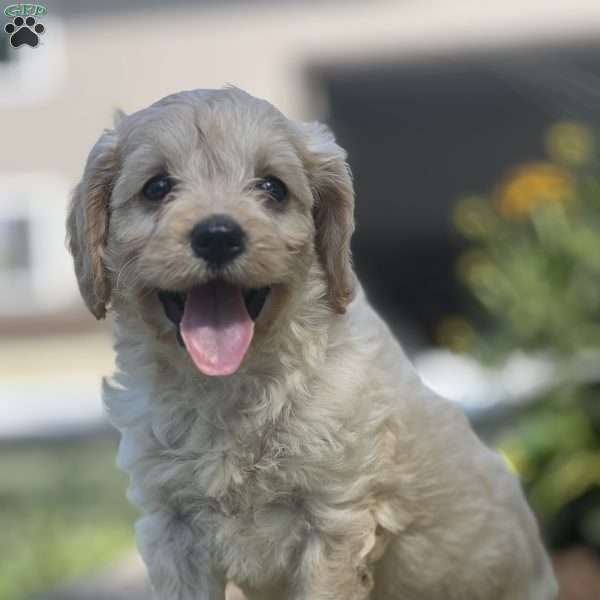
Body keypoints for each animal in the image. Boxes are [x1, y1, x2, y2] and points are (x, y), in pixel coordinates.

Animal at [68, 86, 560, 596]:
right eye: (157, 187)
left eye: (272, 188)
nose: (218, 236)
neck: (231, 385)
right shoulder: (171, 524)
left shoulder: (336, 518)